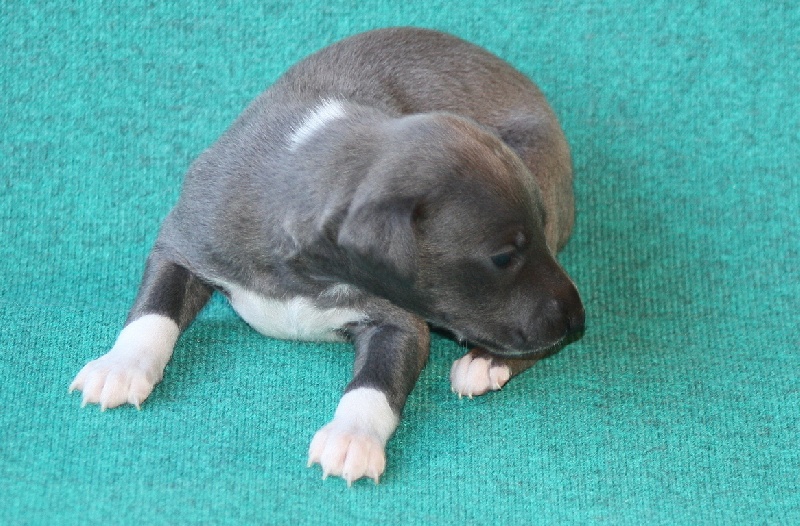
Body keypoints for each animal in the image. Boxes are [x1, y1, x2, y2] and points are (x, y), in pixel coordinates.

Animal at [70, 27, 585, 485]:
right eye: (502, 258)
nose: (578, 321)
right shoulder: (185, 241)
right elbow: (153, 310)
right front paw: (122, 364)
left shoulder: (400, 321)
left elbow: (375, 382)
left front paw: (352, 435)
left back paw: (485, 363)